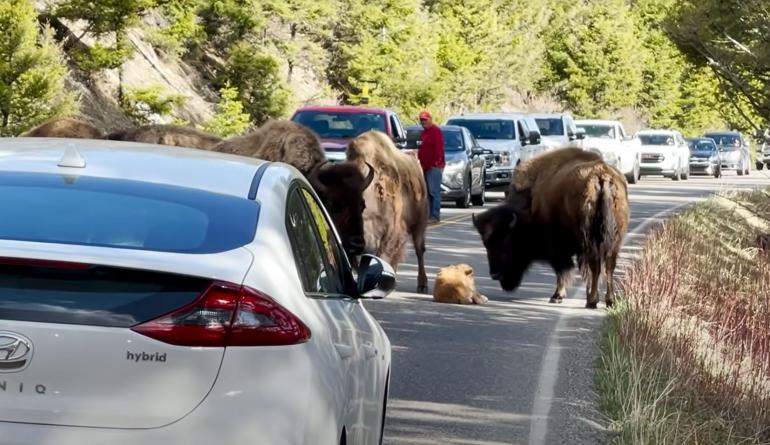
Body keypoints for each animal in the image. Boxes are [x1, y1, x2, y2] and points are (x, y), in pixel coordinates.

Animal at [472, 147, 628, 306]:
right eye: (486, 244)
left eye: (505, 243)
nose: (494, 274)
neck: (531, 201)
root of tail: (602, 177)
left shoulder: (557, 248)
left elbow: (562, 270)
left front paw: (557, 296)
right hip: (614, 240)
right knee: (608, 265)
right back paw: (608, 300)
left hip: (591, 240)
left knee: (596, 264)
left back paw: (592, 301)